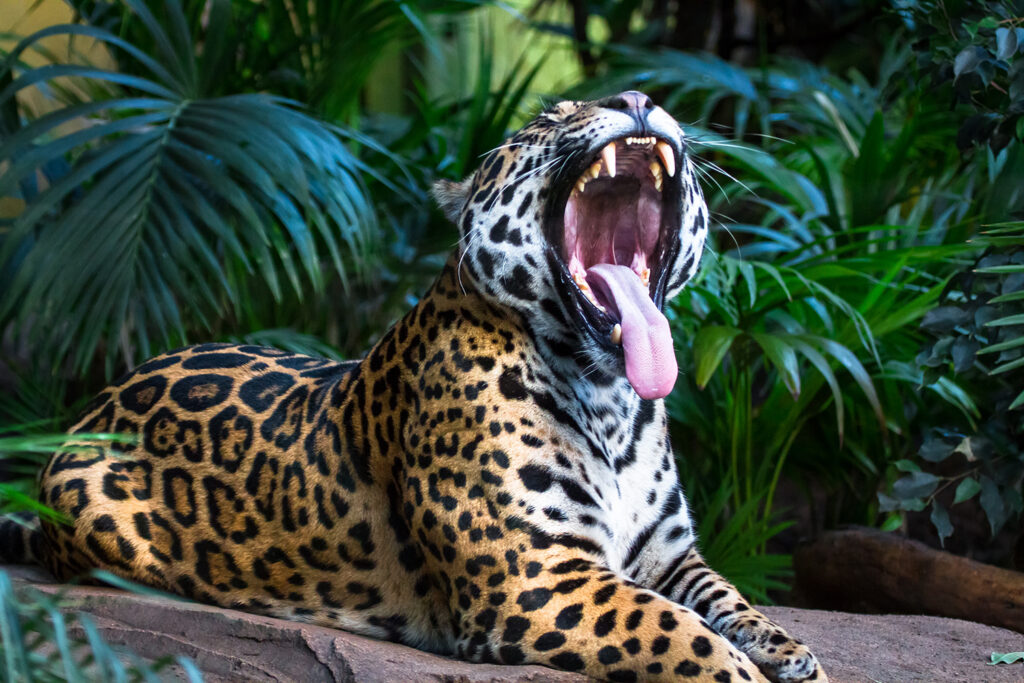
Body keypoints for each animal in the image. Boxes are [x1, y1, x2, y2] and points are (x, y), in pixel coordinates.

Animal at [0, 92, 826, 682]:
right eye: (549, 116)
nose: (640, 98)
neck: (611, 395)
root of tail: (97, 403)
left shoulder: (668, 555)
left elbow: (728, 600)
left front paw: (794, 653)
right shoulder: (536, 577)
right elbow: (675, 630)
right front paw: (745, 671)